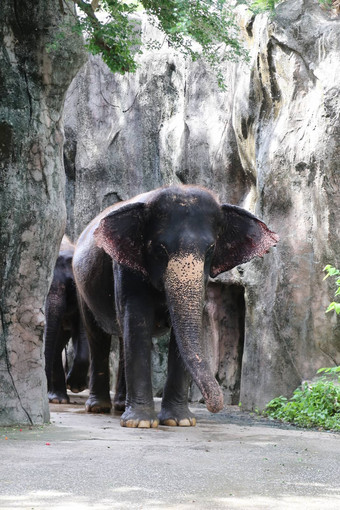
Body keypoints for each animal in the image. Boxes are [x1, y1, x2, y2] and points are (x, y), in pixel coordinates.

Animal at [73, 185, 278, 428]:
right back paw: (99, 407)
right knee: (98, 337)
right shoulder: (125, 269)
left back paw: (121, 405)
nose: (214, 406)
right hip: (82, 288)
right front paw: (141, 423)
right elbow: (137, 323)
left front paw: (180, 421)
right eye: (160, 249)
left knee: (122, 339)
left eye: (210, 249)